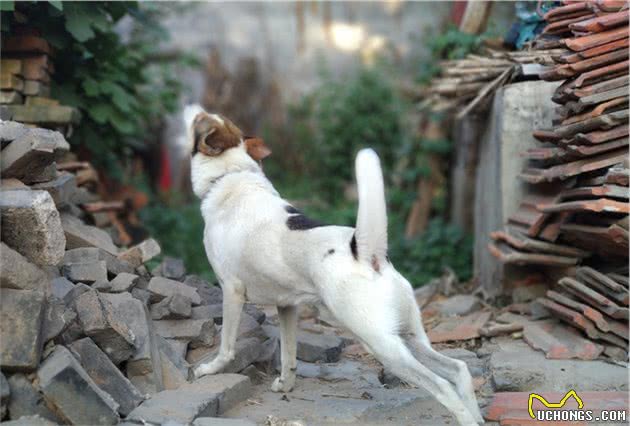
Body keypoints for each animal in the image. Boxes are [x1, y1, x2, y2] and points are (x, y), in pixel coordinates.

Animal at [185, 105, 486, 424]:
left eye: (199, 121)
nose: (194, 108)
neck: (231, 175)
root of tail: (366, 253)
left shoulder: (231, 290)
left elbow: (226, 347)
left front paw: (209, 369)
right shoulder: (287, 305)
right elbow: (288, 354)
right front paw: (286, 384)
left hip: (382, 346)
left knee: (442, 385)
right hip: (407, 336)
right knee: (458, 369)